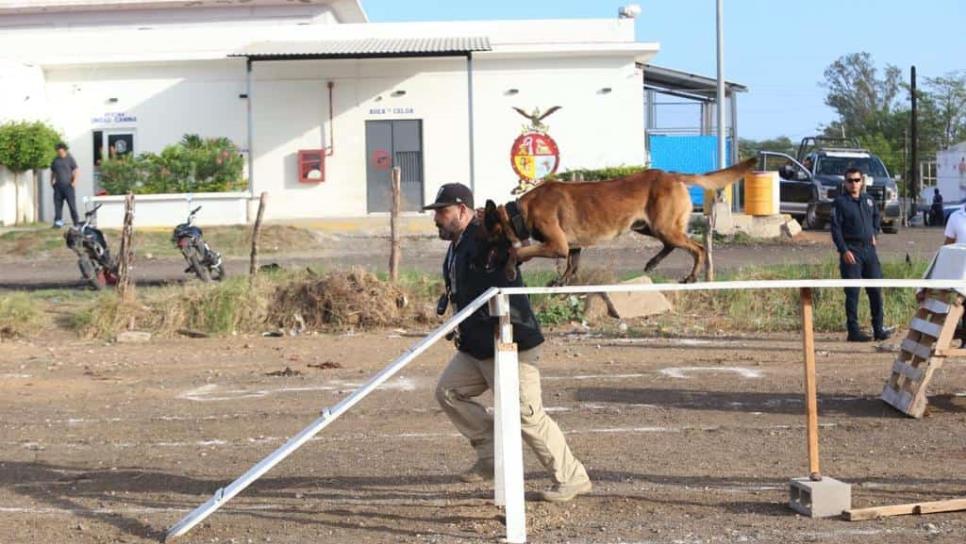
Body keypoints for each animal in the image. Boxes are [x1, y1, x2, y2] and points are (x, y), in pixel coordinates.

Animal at [482, 157, 756, 284]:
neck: (519, 211)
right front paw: (561, 282)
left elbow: (519, 251)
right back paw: (652, 263)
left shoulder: (557, 246)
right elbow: (572, 266)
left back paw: (690, 277)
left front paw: (510, 267)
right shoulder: (572, 247)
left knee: (697, 248)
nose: (484, 266)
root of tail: (672, 175)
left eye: (489, 237)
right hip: (649, 227)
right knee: (671, 245)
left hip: (662, 227)